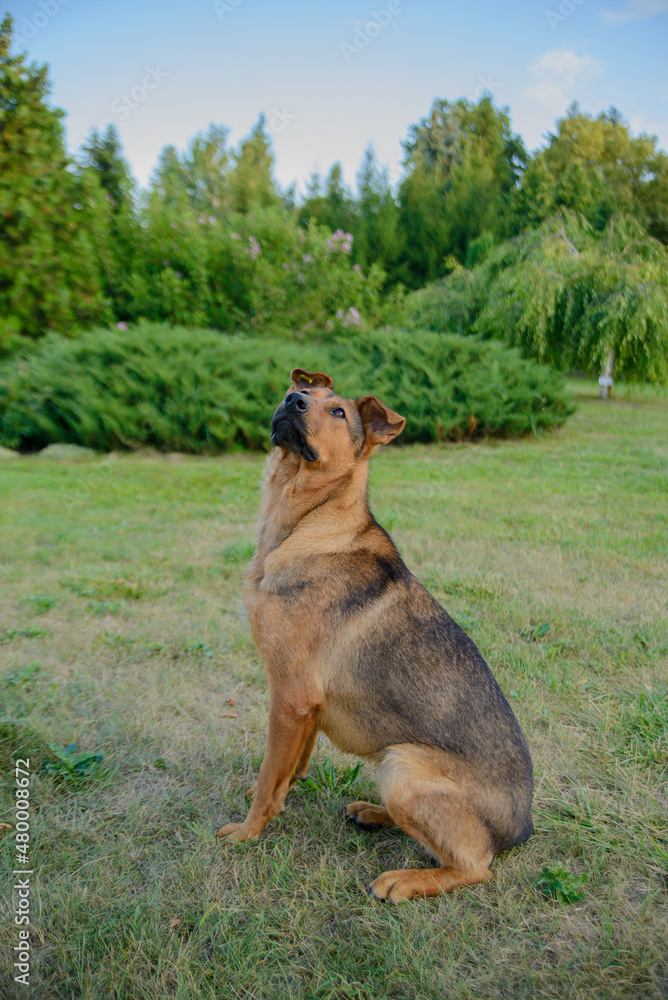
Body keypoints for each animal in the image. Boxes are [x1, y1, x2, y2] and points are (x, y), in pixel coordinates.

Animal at [217, 368, 536, 900]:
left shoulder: (290, 696)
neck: (306, 521)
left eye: (338, 411)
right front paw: (277, 798)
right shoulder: (305, 705)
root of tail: (522, 828)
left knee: (475, 865)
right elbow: (287, 769)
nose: (292, 400)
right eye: (302, 393)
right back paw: (372, 813)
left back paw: (403, 881)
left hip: (401, 766)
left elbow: (269, 775)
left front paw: (247, 831)